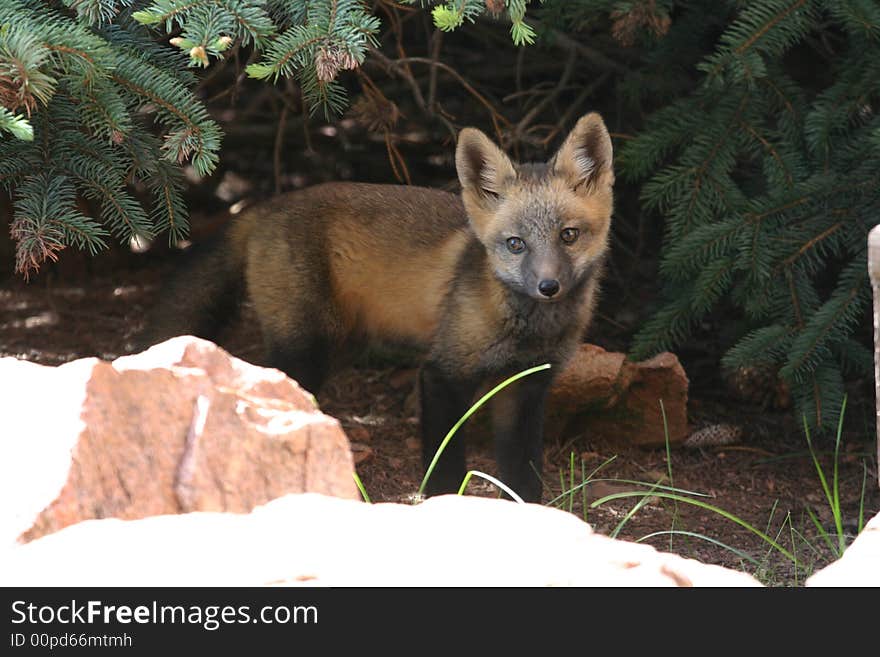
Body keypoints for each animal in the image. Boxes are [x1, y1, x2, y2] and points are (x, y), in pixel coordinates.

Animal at [143, 113, 612, 502]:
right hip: (305, 348)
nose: (548, 287)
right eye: (516, 244)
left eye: (569, 235)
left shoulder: (527, 386)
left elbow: (523, 474)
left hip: (341, 346)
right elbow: (444, 464)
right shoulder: (443, 373)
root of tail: (264, 206)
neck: (526, 330)